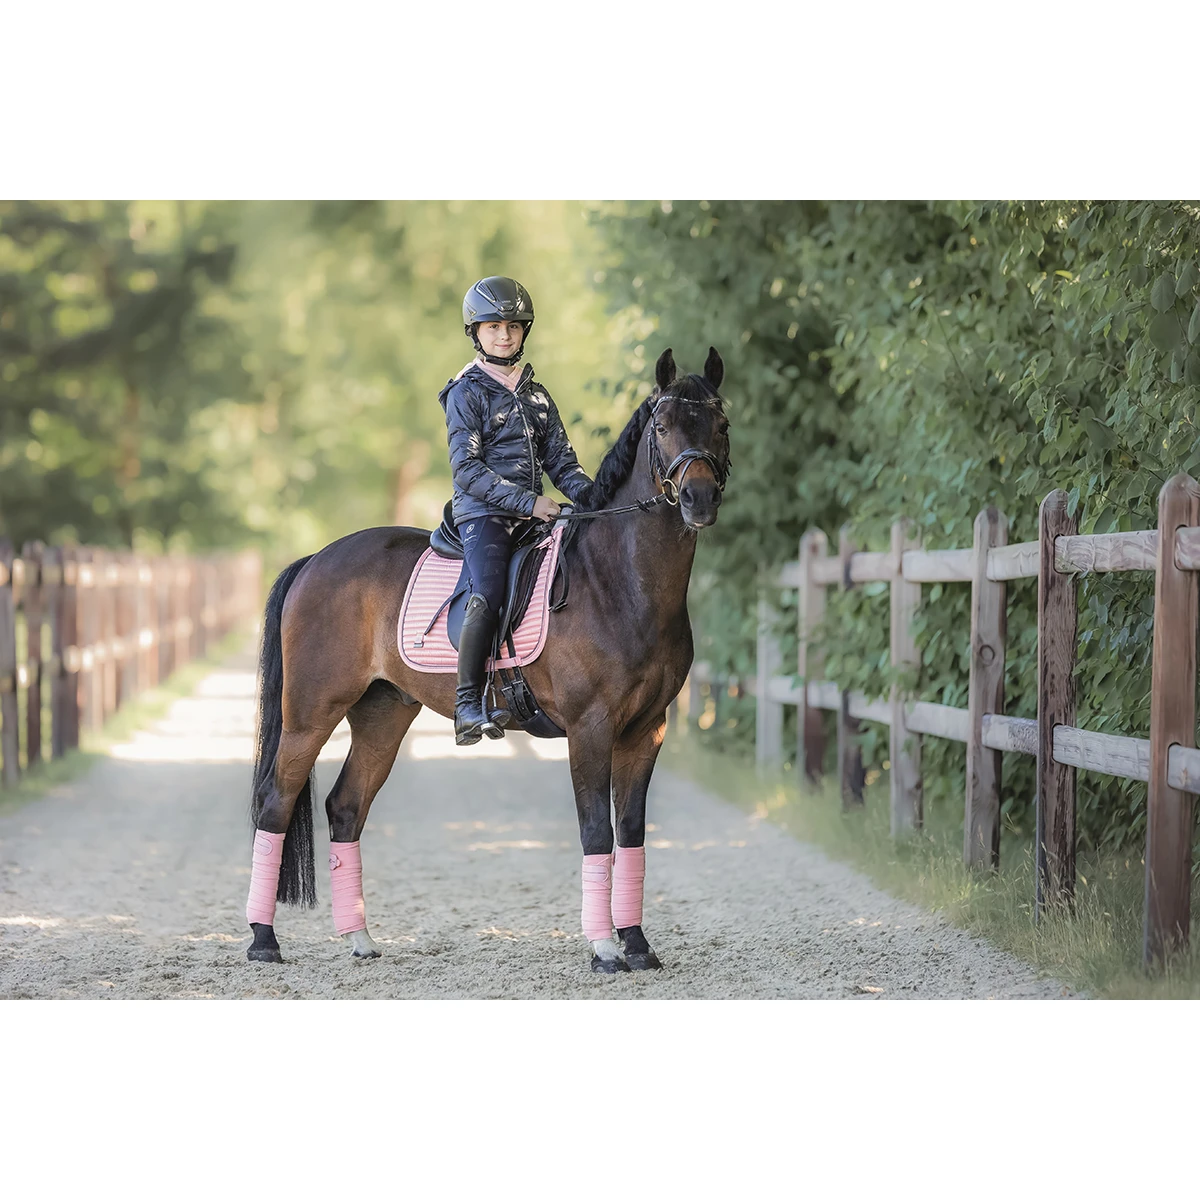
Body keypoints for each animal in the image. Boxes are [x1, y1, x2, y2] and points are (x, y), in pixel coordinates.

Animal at [244, 346, 732, 974]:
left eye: (720, 425)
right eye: (664, 427)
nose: (699, 499)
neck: (621, 583)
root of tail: (315, 560)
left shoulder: (647, 730)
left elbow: (632, 833)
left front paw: (638, 945)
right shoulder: (591, 728)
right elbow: (597, 832)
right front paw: (604, 950)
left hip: (382, 713)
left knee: (346, 807)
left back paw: (361, 939)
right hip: (310, 713)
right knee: (275, 805)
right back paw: (263, 941)